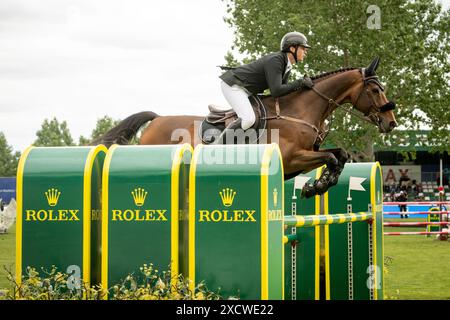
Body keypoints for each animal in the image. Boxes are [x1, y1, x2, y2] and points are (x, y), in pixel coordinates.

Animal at [96, 57, 398, 198]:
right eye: (375, 89)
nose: (391, 122)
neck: (300, 110)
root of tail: (156, 119)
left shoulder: (306, 155)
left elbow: (340, 154)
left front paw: (320, 183)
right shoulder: (292, 157)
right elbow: (332, 157)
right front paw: (319, 185)